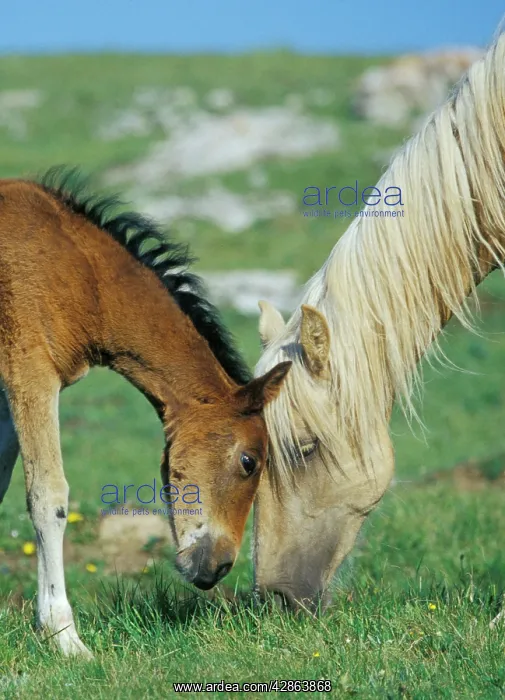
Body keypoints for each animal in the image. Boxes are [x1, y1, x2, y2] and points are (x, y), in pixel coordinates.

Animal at [0, 167, 291, 657]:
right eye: (249, 461)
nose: (217, 569)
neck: (81, 272)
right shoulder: (30, 372)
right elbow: (48, 497)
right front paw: (64, 636)